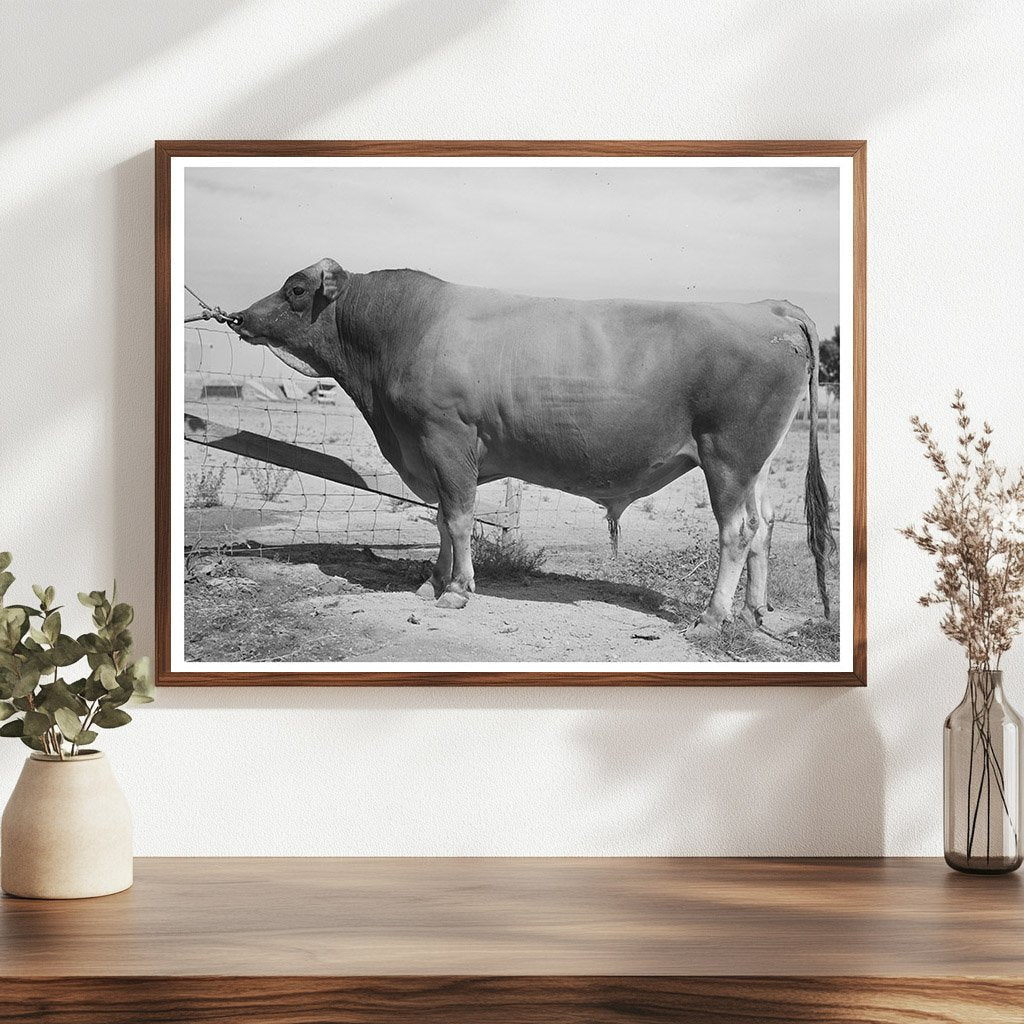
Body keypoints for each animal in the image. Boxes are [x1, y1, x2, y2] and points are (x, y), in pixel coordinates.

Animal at [228, 257, 835, 635]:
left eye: (296, 289)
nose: (238, 317)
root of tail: (770, 307)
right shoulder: (430, 448)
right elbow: (442, 518)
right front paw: (433, 582)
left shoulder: (445, 437)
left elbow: (458, 518)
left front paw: (458, 589)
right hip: (754, 462)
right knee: (765, 523)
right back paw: (754, 611)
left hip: (727, 456)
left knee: (737, 530)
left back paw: (712, 617)